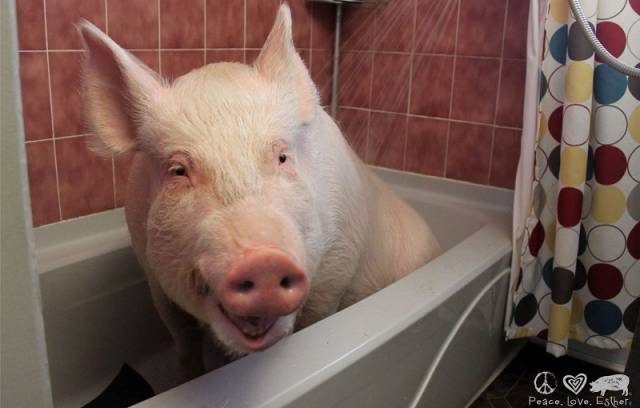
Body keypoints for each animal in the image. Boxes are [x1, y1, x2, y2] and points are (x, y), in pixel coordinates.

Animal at [78, 4, 441, 384]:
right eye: (178, 170)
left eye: (282, 156)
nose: (263, 260)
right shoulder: (152, 277)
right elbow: (183, 342)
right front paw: (188, 380)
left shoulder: (338, 265)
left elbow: (316, 317)